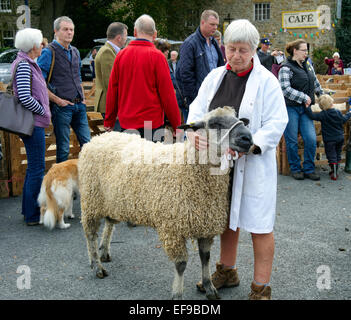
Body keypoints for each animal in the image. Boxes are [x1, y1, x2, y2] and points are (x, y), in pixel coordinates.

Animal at [78, 106, 254, 298]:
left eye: (239, 119)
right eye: (215, 123)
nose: (248, 138)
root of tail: (99, 137)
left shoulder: (205, 226)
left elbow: (205, 258)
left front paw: (209, 286)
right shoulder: (172, 229)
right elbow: (181, 264)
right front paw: (177, 293)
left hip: (113, 200)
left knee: (109, 222)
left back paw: (104, 251)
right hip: (91, 200)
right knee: (90, 234)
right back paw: (96, 265)